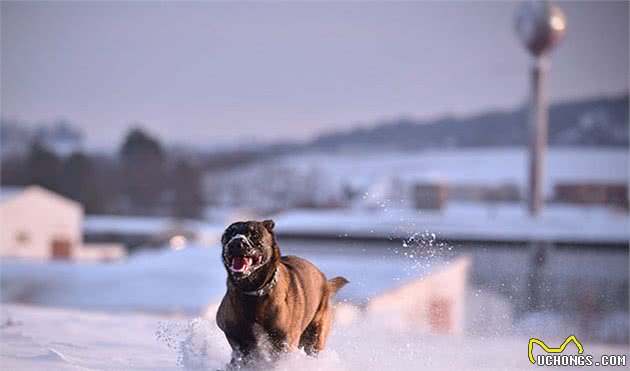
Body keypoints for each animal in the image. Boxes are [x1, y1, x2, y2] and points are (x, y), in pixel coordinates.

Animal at [216, 219, 346, 368]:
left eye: (254, 234)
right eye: (229, 234)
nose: (236, 242)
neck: (254, 293)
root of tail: (325, 282)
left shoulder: (283, 343)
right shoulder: (238, 340)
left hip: (315, 336)